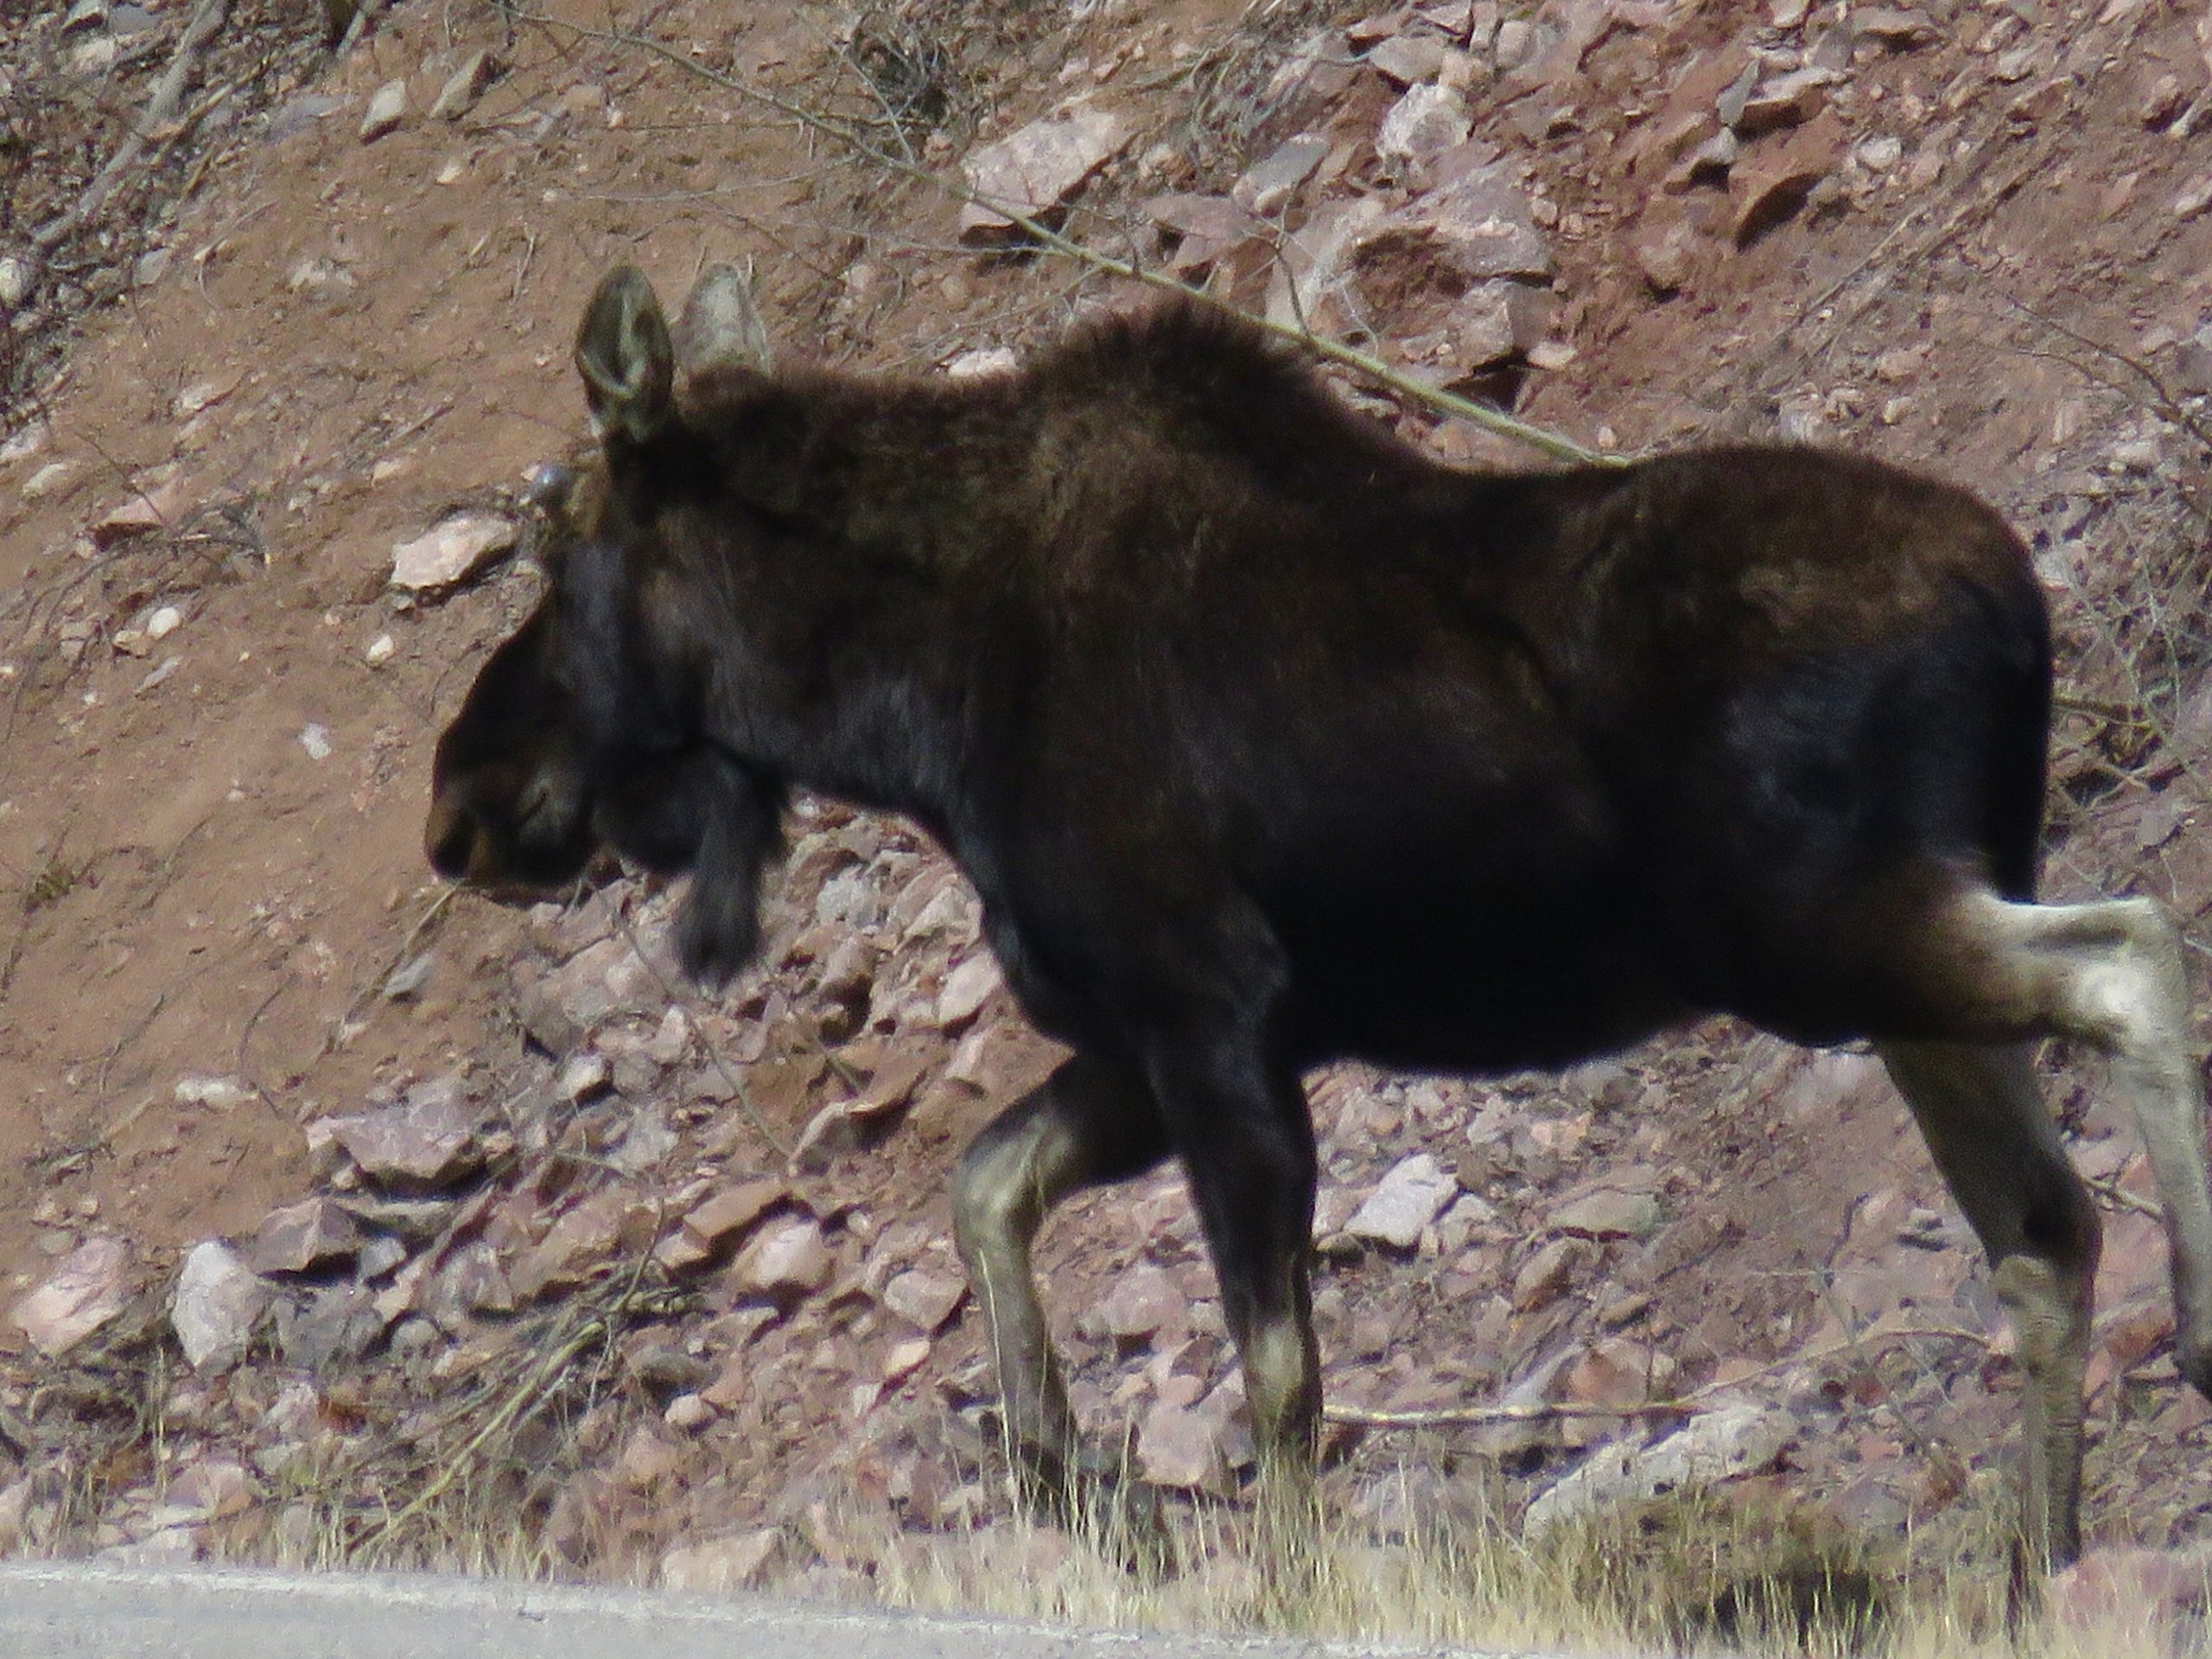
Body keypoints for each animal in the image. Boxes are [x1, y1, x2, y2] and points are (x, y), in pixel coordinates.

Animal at [425, 262, 2212, 1571]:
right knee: (2043, 1230)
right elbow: (986, 1185)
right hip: (1880, 961)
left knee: (2130, 957)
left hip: (1820, 930)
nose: (459, 803)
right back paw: (2040, 1566)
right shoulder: (1148, 1043)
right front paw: (1053, 1461)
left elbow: (1278, 1383)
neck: (906, 712)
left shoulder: (1208, 1025)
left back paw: (2192, 1332)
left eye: (557, 548)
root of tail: (2017, 601)